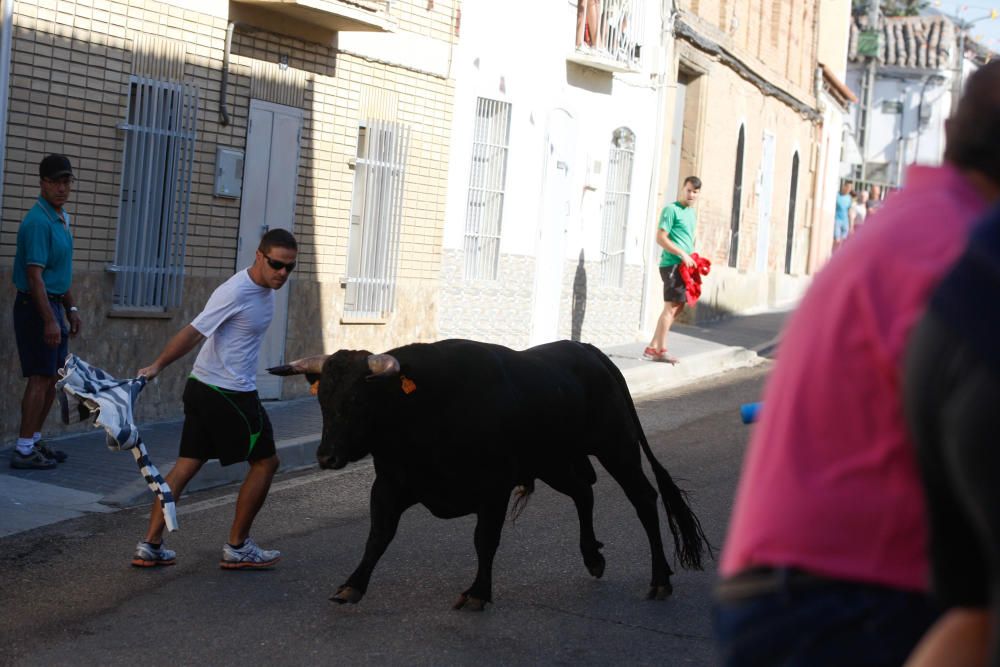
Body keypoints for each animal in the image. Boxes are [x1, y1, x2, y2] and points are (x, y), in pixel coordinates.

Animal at [270, 340, 712, 612]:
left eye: (359, 399)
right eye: (323, 399)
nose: (326, 456)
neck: (424, 408)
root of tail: (588, 351)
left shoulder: (494, 487)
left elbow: (485, 540)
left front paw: (478, 592)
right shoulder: (391, 485)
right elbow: (378, 536)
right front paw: (352, 585)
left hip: (617, 448)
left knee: (644, 500)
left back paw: (660, 579)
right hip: (552, 462)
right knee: (583, 492)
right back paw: (593, 558)